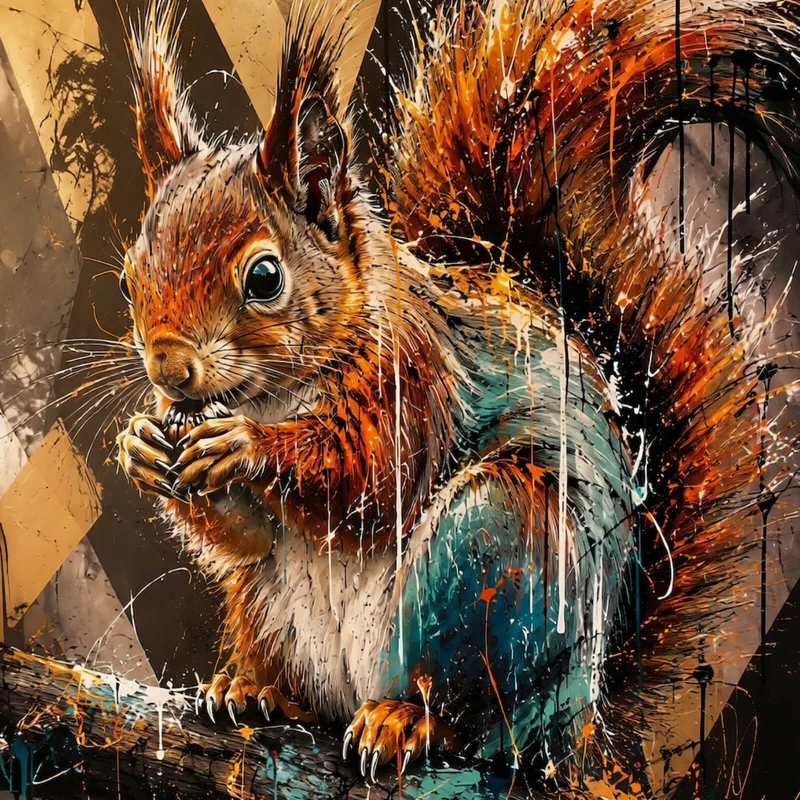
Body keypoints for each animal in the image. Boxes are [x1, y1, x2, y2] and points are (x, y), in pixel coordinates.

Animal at [115, 0, 798, 788]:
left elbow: (375, 475)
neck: (277, 394)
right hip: (268, 608)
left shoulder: (418, 373)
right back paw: (255, 691)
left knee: (476, 721)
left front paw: (247, 447)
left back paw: (406, 719)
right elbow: (250, 533)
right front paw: (141, 448)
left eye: (263, 277)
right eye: (130, 277)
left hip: (495, 554)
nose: (169, 368)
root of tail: (580, 723)